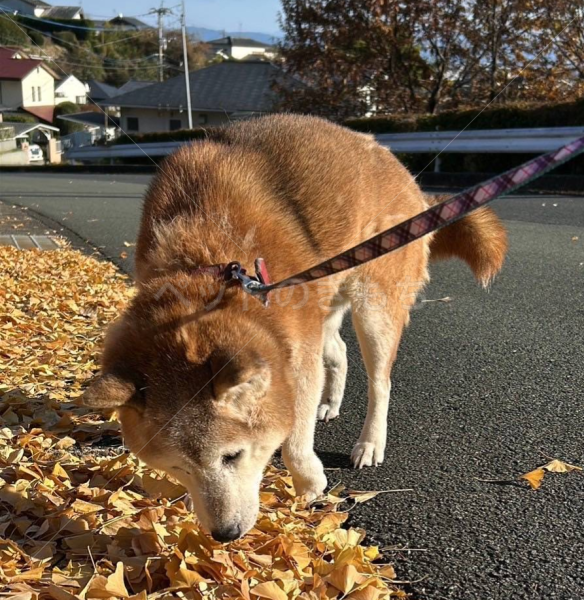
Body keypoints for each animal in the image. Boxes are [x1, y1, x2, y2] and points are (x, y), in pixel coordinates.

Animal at [82, 113, 506, 544]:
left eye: (232, 456)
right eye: (176, 467)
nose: (226, 534)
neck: (206, 267)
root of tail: (400, 170)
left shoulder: (296, 356)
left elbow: (294, 439)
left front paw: (309, 483)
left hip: (373, 308)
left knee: (380, 382)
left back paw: (370, 442)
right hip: (324, 302)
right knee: (339, 353)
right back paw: (331, 404)